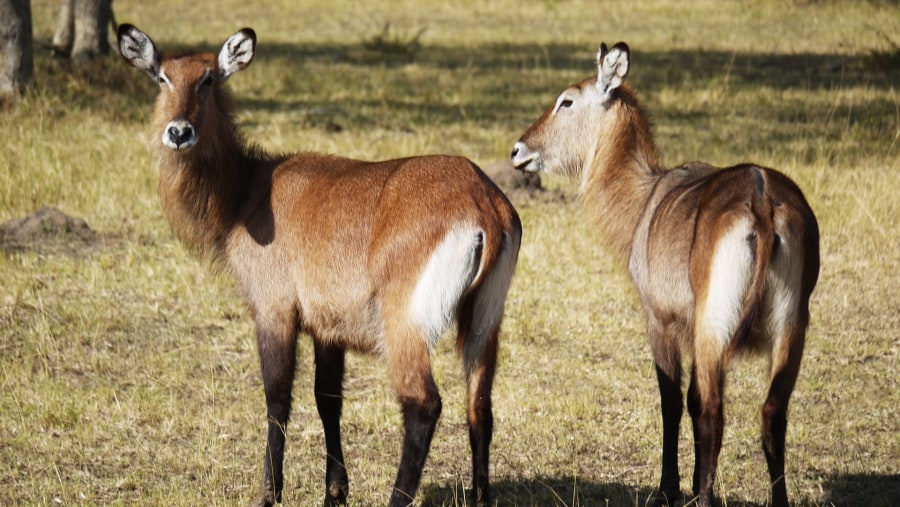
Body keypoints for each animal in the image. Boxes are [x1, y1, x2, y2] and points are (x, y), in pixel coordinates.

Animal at [119, 24, 524, 507]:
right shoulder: (329, 328)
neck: (246, 192)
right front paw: (335, 491)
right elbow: (327, 398)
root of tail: (482, 200)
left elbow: (277, 398)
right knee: (479, 407)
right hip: (485, 320)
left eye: (208, 79)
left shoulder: (273, 311)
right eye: (162, 77)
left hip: (404, 325)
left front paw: (270, 492)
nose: (179, 132)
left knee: (423, 405)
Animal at [510, 43, 820, 507]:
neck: (645, 199)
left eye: (566, 101)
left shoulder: (660, 320)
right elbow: (690, 399)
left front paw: (669, 488)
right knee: (771, 413)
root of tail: (763, 203)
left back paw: (704, 498)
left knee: (714, 413)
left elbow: (672, 401)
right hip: (790, 327)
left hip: (716, 327)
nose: (517, 150)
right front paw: (688, 484)